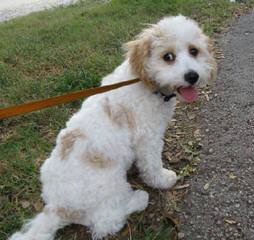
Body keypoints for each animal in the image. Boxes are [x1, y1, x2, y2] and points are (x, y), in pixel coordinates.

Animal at [9, 15, 216, 240]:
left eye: (194, 51)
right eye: (167, 56)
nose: (192, 76)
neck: (145, 84)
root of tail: (57, 208)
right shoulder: (148, 140)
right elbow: (152, 166)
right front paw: (162, 180)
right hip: (110, 184)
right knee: (107, 222)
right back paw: (138, 200)